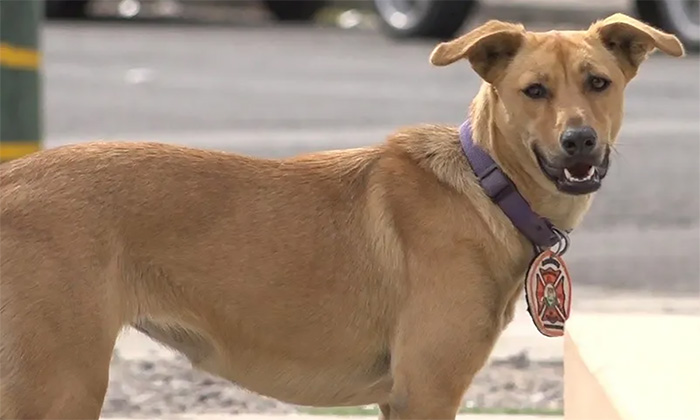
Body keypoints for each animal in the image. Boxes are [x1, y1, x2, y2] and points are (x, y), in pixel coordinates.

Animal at [0, 13, 684, 420]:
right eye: (534, 91)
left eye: (598, 83)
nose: (580, 142)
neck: (486, 186)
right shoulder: (426, 390)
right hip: (60, 385)